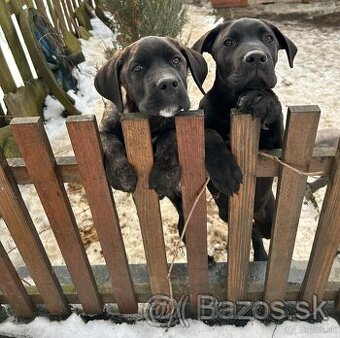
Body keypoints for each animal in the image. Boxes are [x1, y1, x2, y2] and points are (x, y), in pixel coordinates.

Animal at [95, 36, 242, 240]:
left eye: (176, 60)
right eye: (137, 68)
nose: (168, 83)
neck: (152, 121)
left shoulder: (178, 122)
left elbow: (170, 136)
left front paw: (165, 173)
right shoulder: (105, 128)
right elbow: (108, 143)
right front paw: (121, 173)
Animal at [194, 17, 298, 262]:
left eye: (268, 38)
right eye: (229, 42)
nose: (256, 57)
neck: (232, 101)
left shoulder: (276, 149)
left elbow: (274, 108)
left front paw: (262, 100)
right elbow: (208, 134)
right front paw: (224, 169)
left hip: (269, 216)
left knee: (261, 231)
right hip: (227, 214)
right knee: (253, 232)